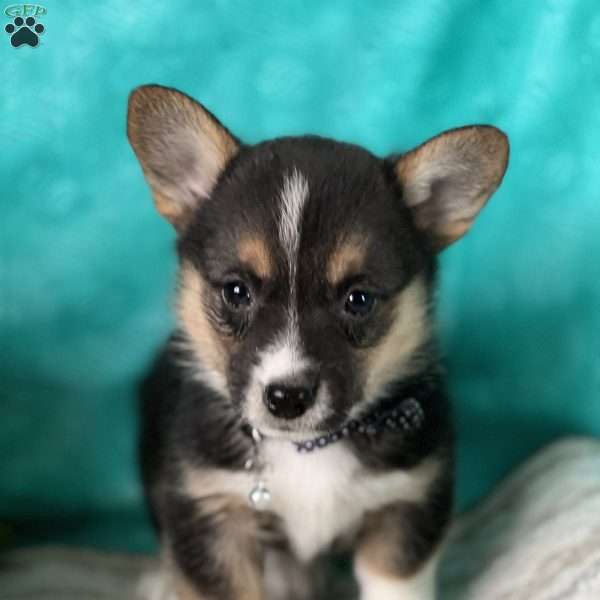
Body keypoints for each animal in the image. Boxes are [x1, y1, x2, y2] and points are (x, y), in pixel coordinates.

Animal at [129, 85, 508, 600]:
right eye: (236, 291)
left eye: (359, 299)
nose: (287, 398)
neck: (309, 449)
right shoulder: (212, 515)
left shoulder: (406, 506)